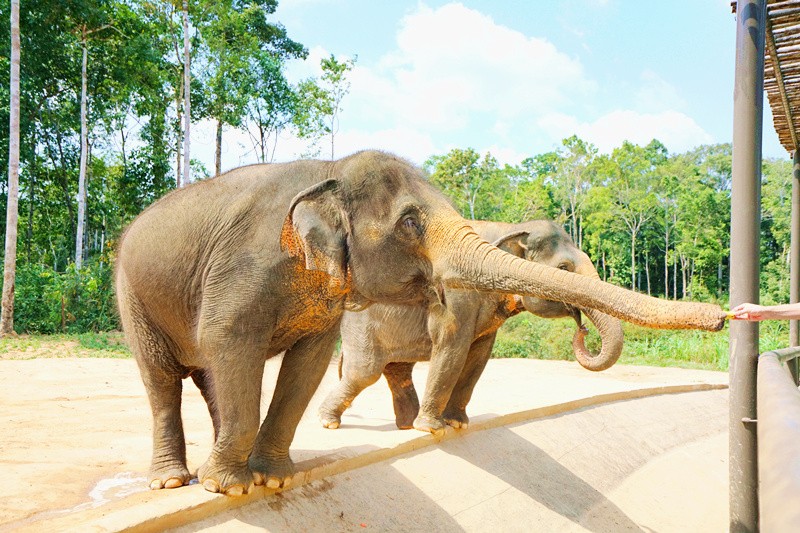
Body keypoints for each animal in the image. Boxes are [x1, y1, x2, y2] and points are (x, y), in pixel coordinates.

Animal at [318, 217, 624, 432]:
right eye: (563, 269)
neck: (511, 227)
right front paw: (432, 429)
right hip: (362, 328)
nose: (582, 329)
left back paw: (405, 425)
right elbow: (453, 347)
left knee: (398, 370)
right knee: (365, 372)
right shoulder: (455, 293)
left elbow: (479, 356)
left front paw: (457, 424)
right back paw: (329, 422)